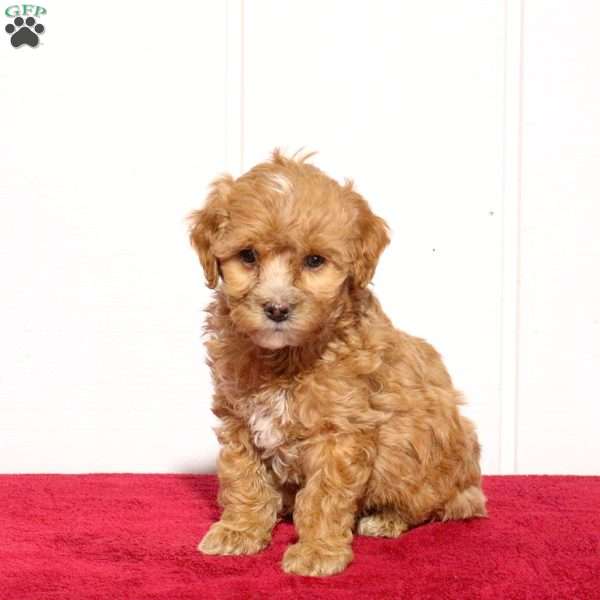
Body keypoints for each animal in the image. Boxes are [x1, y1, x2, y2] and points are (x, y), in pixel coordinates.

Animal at [190, 149, 486, 576]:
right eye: (247, 256)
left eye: (315, 261)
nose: (276, 308)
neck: (285, 358)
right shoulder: (239, 419)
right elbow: (243, 478)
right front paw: (240, 530)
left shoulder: (341, 432)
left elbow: (324, 496)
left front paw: (317, 551)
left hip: (433, 459)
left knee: (439, 505)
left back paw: (385, 519)